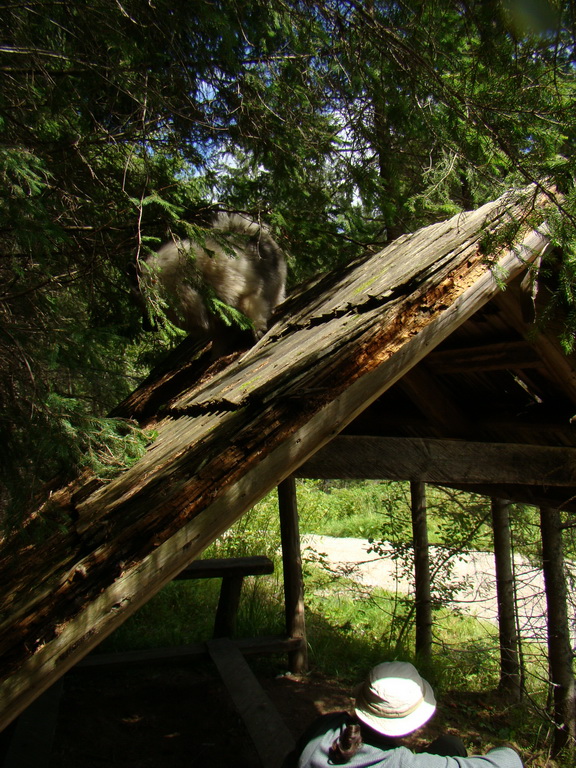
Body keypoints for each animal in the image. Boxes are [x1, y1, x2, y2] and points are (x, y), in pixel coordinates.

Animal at [140, 212, 288, 352]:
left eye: (150, 307)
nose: (145, 326)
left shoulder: (243, 295)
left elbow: (252, 310)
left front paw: (257, 329)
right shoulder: (218, 318)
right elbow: (221, 335)